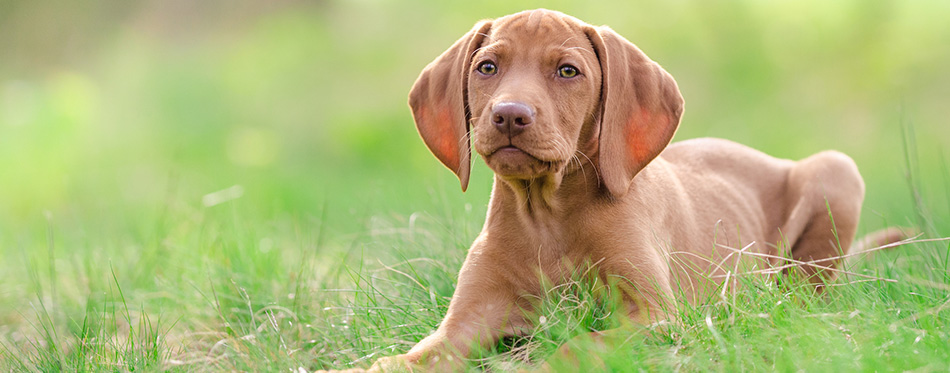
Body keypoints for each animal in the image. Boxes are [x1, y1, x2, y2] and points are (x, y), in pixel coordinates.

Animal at [378, 8, 892, 370]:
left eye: (568, 72)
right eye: (487, 67)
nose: (509, 115)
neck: (546, 216)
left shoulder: (653, 315)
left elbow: (578, 346)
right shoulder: (464, 323)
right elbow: (404, 359)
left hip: (836, 172)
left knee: (804, 293)